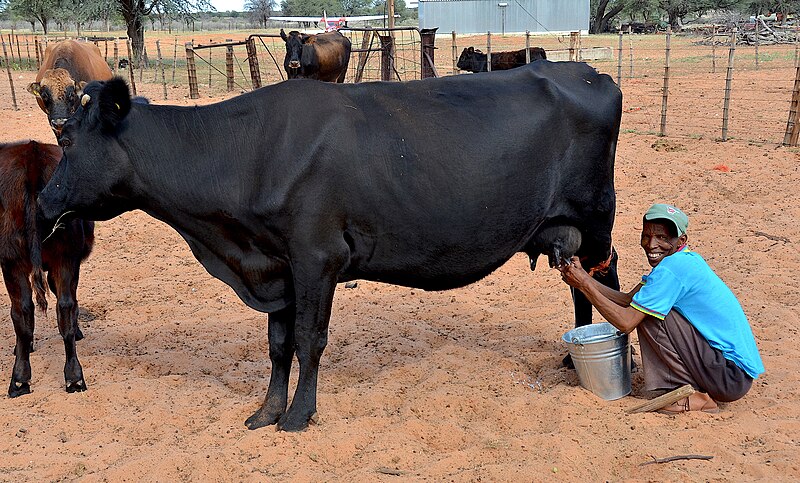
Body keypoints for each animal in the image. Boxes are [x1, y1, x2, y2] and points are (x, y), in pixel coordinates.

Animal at [0, 140, 94, 398]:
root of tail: (32, 155)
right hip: (63, 257)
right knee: (63, 307)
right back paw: (73, 379)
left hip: (15, 259)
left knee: (24, 310)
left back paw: (20, 380)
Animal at [40, 59, 620, 432]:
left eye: (67, 139)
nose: (44, 200)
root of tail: (587, 71)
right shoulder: (276, 264)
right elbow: (277, 344)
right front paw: (266, 412)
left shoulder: (317, 257)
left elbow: (308, 340)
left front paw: (299, 415)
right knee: (577, 283)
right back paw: (571, 355)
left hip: (597, 218)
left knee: (604, 278)